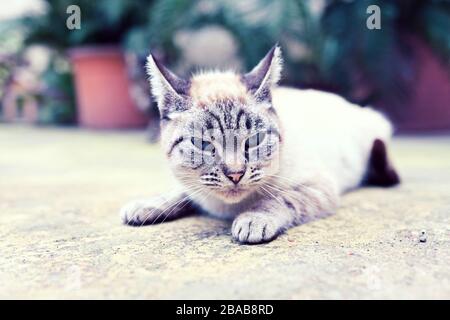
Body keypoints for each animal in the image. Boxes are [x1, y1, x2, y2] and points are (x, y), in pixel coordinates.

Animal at [120, 45, 400, 245]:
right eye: (203, 144)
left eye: (254, 140)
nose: (235, 174)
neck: (226, 208)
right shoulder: (193, 188)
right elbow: (180, 192)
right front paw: (147, 206)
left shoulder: (317, 187)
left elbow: (279, 200)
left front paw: (253, 220)